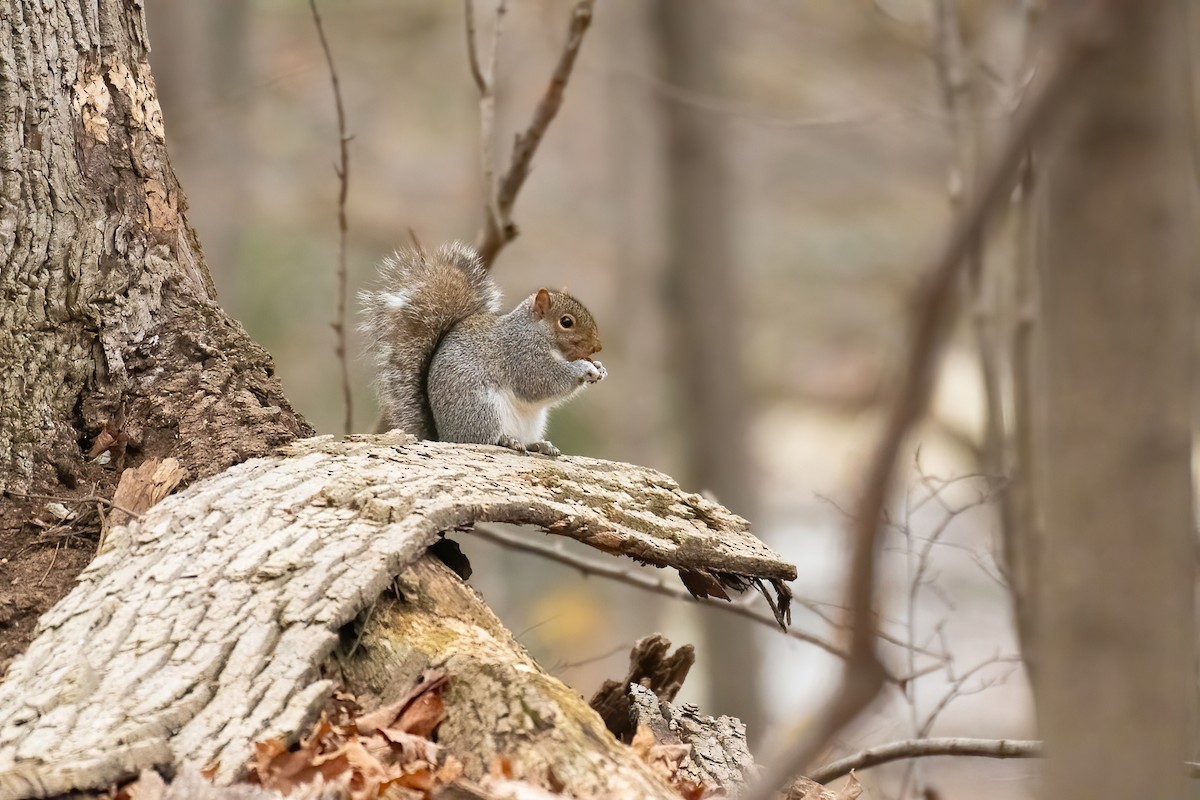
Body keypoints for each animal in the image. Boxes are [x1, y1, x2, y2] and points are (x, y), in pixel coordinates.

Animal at [360, 241, 606, 457]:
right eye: (566, 322)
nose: (597, 346)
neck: (535, 332)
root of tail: (445, 436)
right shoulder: (519, 354)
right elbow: (541, 380)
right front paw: (583, 368)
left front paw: (600, 368)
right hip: (482, 410)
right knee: (485, 438)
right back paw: (507, 440)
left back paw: (540, 445)